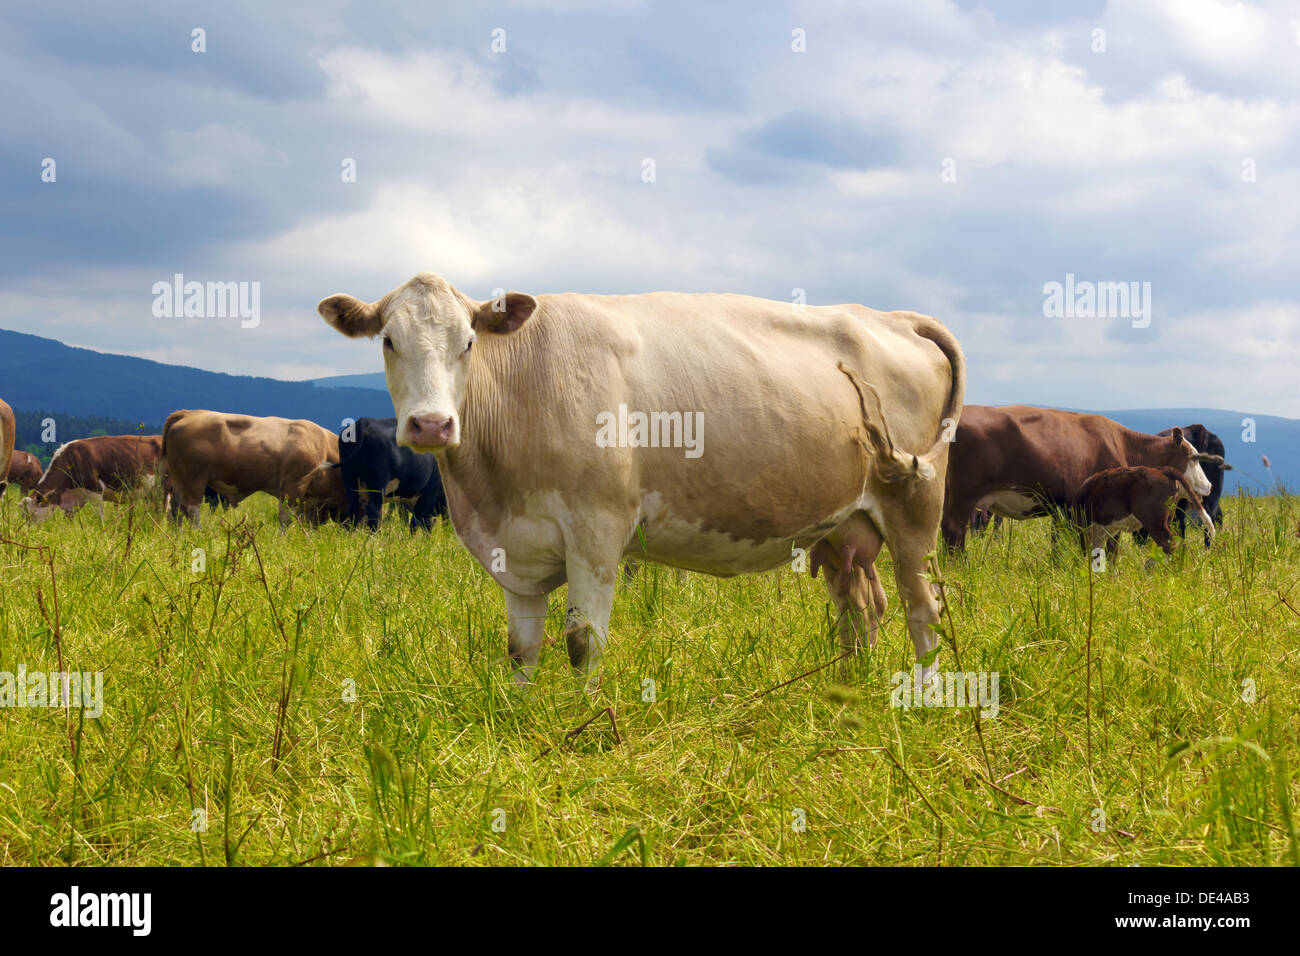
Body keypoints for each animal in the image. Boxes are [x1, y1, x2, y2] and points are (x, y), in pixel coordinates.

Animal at [20, 434, 163, 520]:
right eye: (23, 516)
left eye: (32, 514)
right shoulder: (75, 499)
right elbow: (69, 519)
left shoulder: (96, 491)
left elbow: (100, 517)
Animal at [161, 408, 345, 528]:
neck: (322, 446)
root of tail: (187, 414)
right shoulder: (293, 486)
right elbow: (285, 518)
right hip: (194, 480)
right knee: (191, 509)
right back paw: (198, 532)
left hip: (179, 481)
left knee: (175, 508)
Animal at [315, 273, 967, 691]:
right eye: (389, 340)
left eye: (469, 342)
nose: (431, 423)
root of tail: (892, 317)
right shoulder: (514, 545)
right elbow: (521, 648)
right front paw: (518, 717)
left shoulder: (596, 532)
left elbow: (583, 642)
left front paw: (583, 722)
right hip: (842, 525)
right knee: (861, 606)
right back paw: (848, 691)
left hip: (916, 507)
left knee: (924, 608)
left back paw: (922, 699)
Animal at [941, 405, 1222, 554]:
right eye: (1193, 457)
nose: (1208, 485)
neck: (1123, 444)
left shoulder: (1065, 508)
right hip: (963, 494)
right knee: (955, 531)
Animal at [1066, 465, 1216, 564]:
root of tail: (1162, 470)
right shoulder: (1112, 531)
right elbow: (1110, 555)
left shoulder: (1083, 527)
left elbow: (1087, 553)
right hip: (1167, 518)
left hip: (1153, 521)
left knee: (1168, 544)